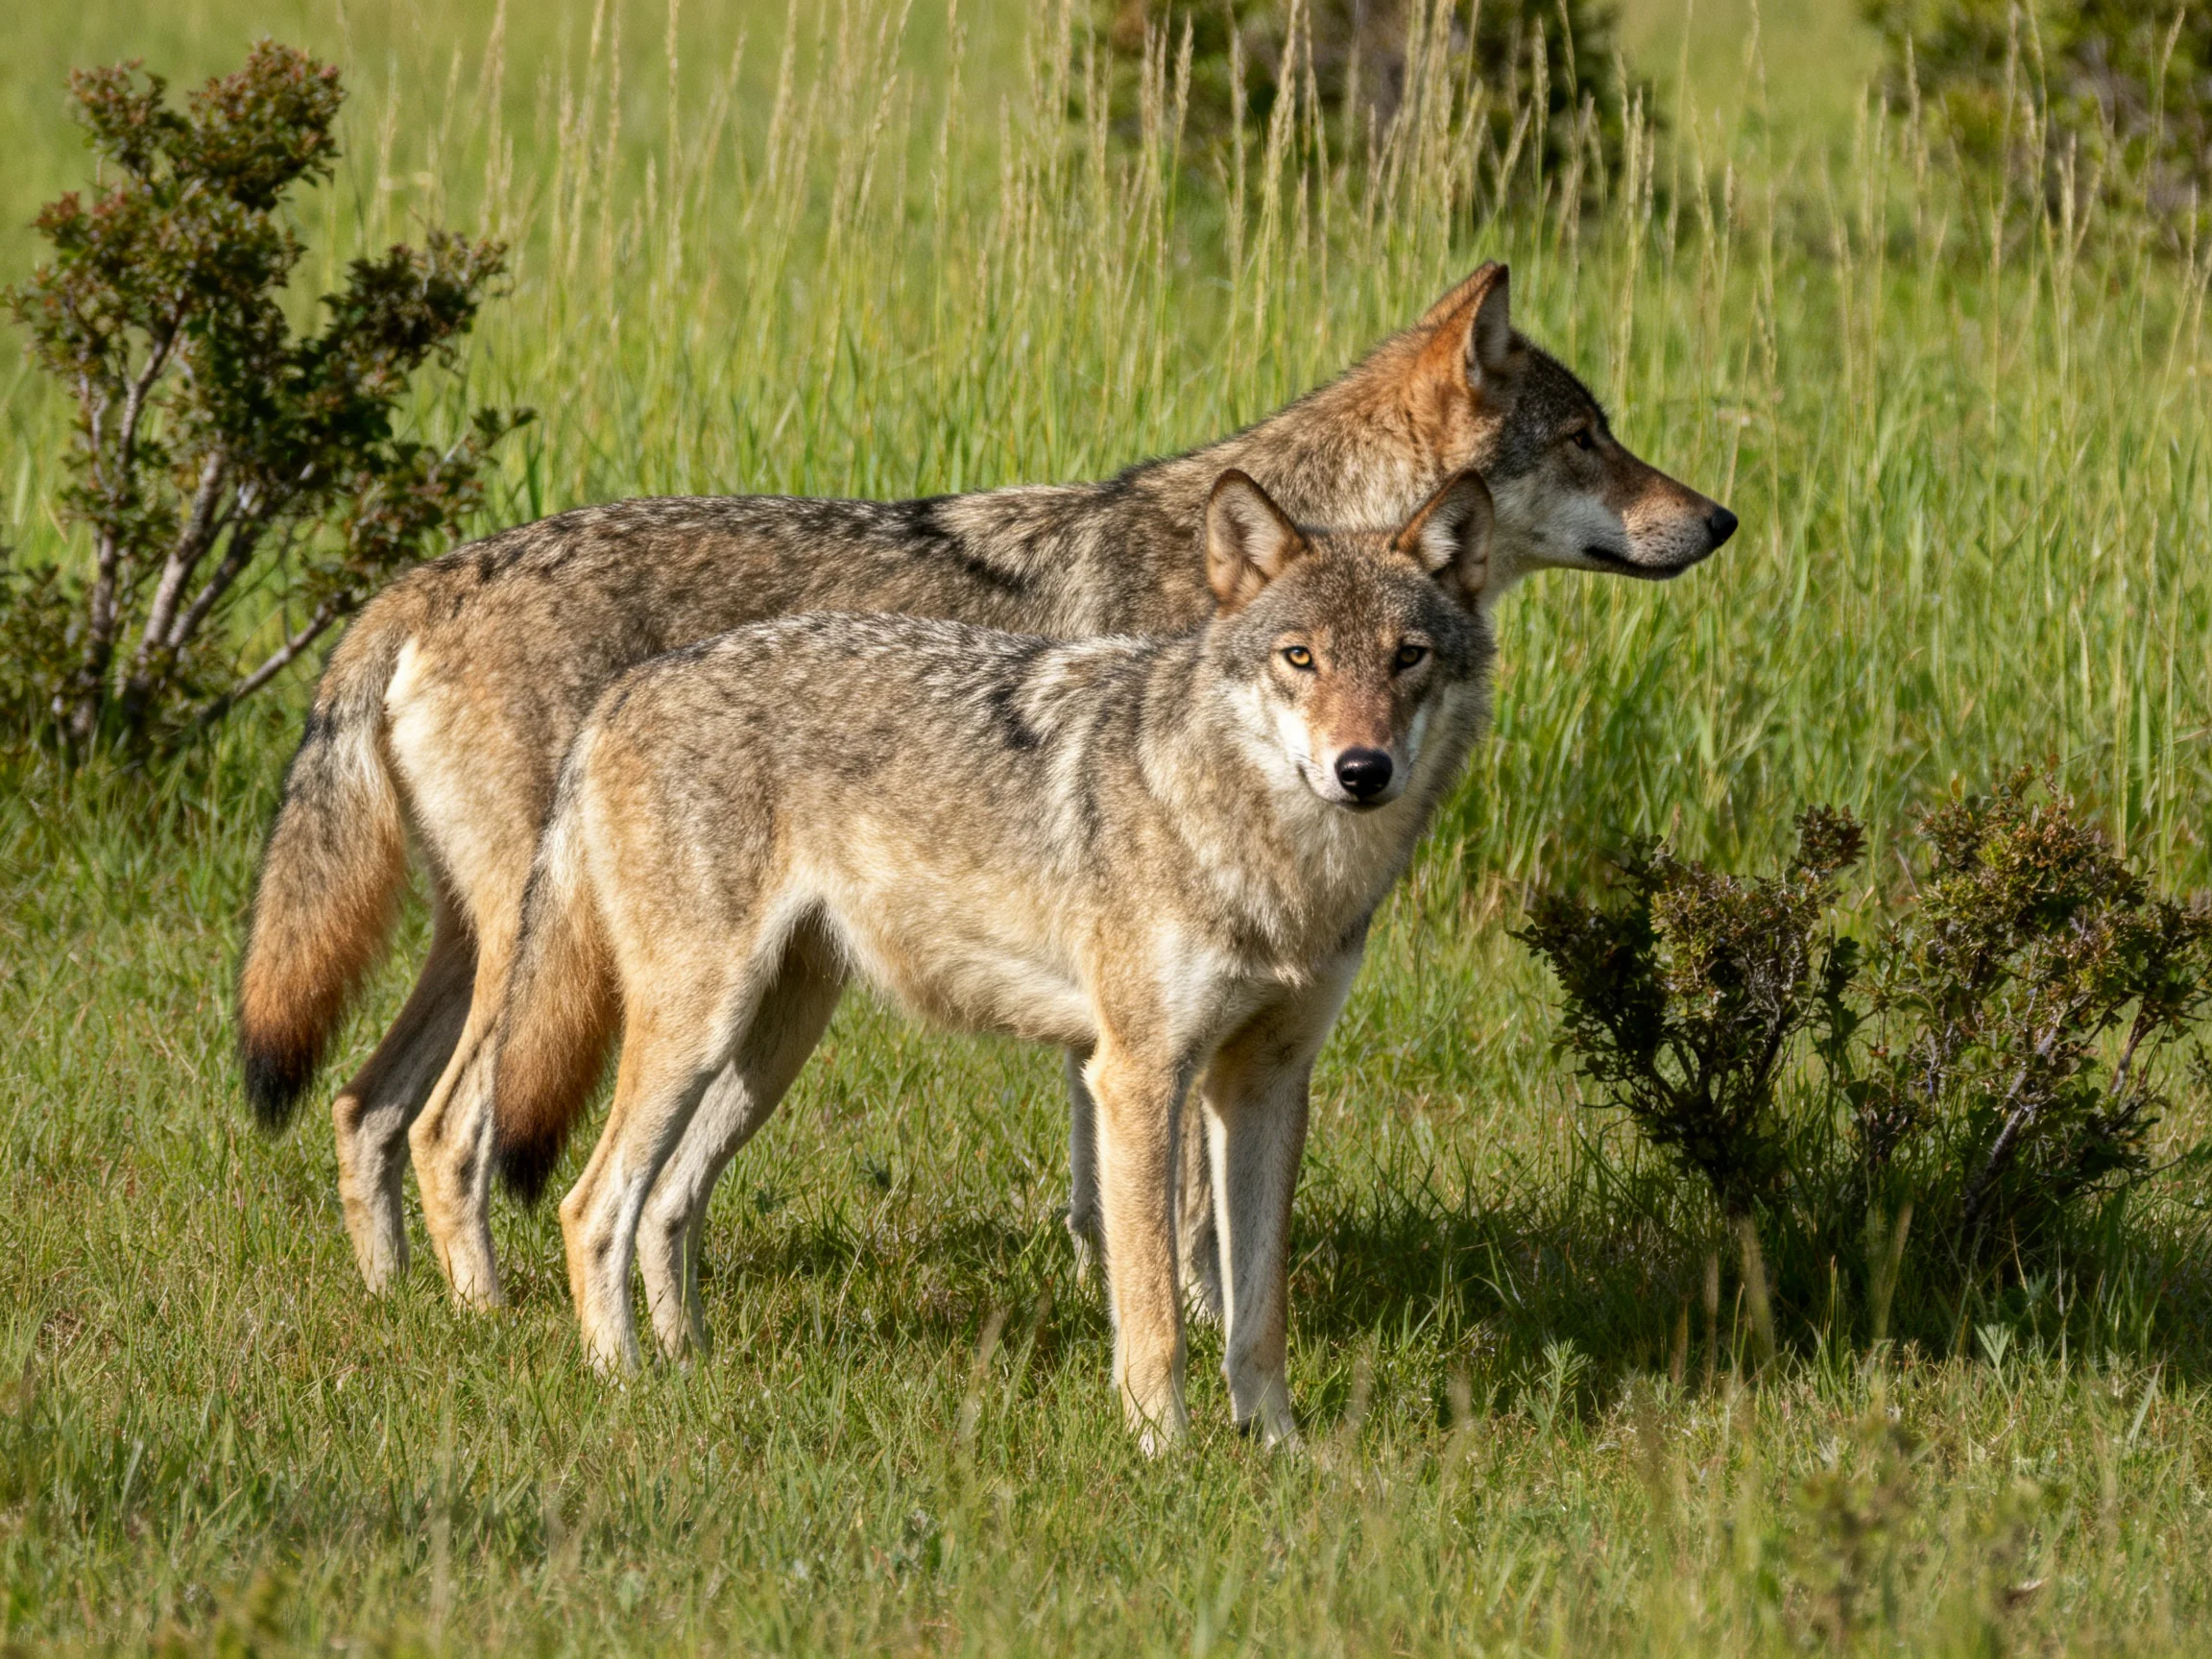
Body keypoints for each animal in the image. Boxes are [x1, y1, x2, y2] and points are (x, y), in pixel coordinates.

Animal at [237, 263, 1736, 1312]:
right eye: (1590, 437)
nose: (1719, 519)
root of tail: (420, 585)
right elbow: (1185, 1215)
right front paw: (1191, 1334)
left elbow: (1121, 1202)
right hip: (562, 963)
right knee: (452, 1132)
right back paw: (494, 1318)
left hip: (500, 946)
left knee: (363, 1108)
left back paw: (404, 1304)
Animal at [490, 469, 1497, 1447]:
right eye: (1301, 658)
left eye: (1407, 656)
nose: (1362, 770)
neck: (1281, 869)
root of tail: (625, 689)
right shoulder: (1134, 1077)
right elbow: (1156, 1308)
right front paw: (1165, 1453)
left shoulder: (1267, 1083)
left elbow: (1259, 1314)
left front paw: (1278, 1449)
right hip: (698, 1033)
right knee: (592, 1207)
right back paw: (623, 1384)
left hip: (768, 1048)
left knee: (666, 1204)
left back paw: (690, 1369)